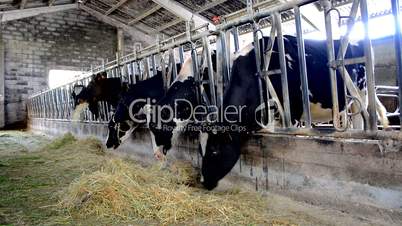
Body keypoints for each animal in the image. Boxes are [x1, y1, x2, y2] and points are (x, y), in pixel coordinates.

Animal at [201, 35, 390, 190]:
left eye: (214, 150)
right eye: (200, 149)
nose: (203, 181)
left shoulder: (291, 111)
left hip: (361, 94)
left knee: (360, 120)